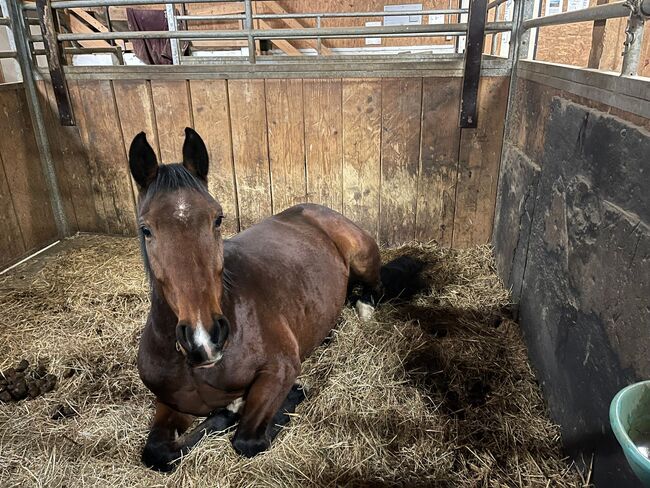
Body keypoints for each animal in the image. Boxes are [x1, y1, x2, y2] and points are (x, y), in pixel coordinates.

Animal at [128, 127, 420, 470]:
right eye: (146, 229)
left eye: (218, 218)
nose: (205, 338)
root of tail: (314, 209)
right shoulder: (168, 401)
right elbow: (157, 452)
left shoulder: (279, 371)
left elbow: (247, 439)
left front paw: (279, 399)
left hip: (362, 259)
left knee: (374, 291)